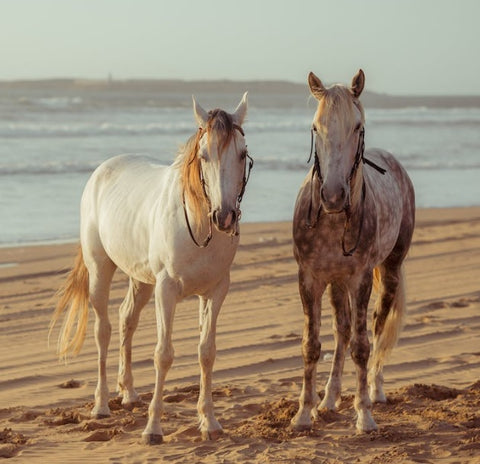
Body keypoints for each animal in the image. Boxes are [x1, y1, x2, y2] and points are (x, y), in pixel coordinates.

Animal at [49, 93, 251, 442]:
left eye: (241, 153)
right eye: (204, 155)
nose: (224, 217)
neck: (197, 222)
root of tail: (103, 169)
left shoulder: (216, 291)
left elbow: (207, 353)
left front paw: (209, 422)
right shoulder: (166, 290)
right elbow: (163, 354)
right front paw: (153, 428)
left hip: (141, 280)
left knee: (126, 318)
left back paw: (128, 393)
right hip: (101, 270)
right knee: (104, 329)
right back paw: (101, 404)